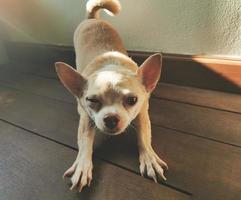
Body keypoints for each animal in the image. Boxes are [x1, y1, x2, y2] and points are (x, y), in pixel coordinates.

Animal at [54, 0, 168, 191]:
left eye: (132, 100)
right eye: (92, 100)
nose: (111, 118)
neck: (111, 66)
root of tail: (92, 18)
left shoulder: (142, 113)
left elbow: (144, 136)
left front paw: (149, 158)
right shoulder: (86, 118)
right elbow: (85, 141)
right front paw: (83, 166)